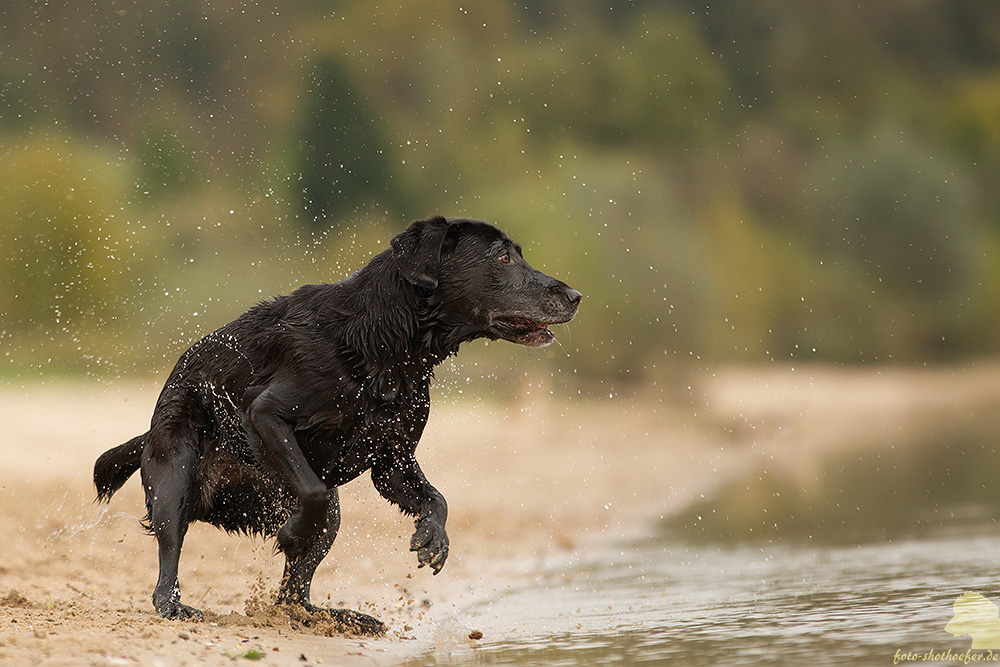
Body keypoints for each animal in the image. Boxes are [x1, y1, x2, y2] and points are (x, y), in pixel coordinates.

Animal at [95, 219, 580, 636]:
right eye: (502, 257)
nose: (575, 295)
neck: (385, 342)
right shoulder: (264, 415)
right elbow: (310, 491)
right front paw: (292, 533)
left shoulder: (392, 459)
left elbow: (436, 499)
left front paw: (433, 538)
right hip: (174, 470)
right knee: (170, 548)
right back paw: (175, 604)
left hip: (323, 514)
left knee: (293, 595)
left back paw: (334, 617)